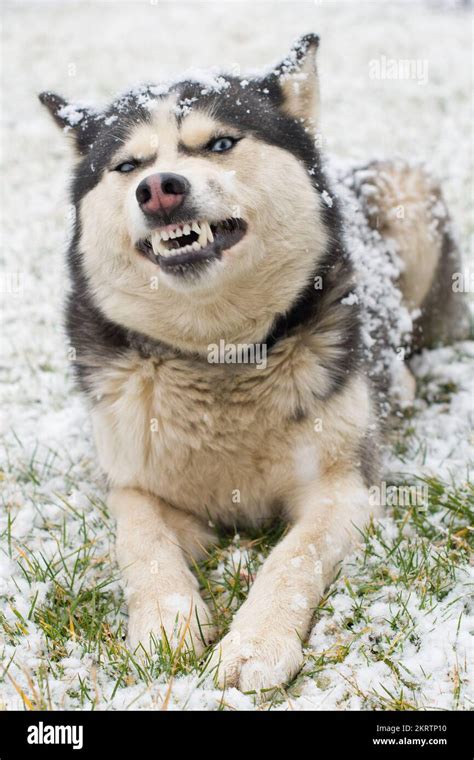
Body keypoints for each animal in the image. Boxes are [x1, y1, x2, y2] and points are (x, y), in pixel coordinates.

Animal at [41, 34, 470, 688]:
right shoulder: (133, 483)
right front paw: (164, 624)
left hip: (409, 198)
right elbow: (141, 543)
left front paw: (255, 643)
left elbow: (294, 556)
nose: (159, 188)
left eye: (220, 143)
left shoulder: (342, 486)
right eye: (128, 166)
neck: (218, 354)